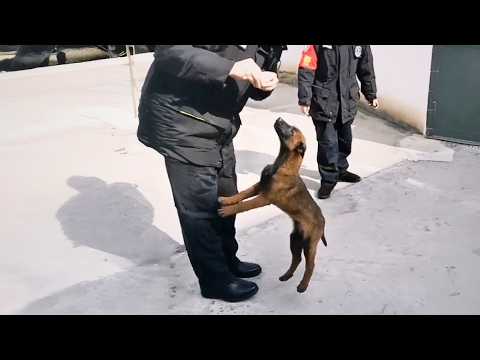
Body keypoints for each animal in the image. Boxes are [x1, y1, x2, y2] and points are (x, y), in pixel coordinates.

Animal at [219, 117, 328, 292]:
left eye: (292, 131)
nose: (279, 118)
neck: (281, 163)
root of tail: (323, 222)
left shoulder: (264, 197)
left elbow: (245, 205)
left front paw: (227, 210)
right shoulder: (259, 186)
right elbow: (243, 194)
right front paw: (226, 200)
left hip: (309, 243)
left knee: (310, 264)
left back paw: (303, 285)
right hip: (295, 239)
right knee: (297, 259)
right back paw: (286, 276)